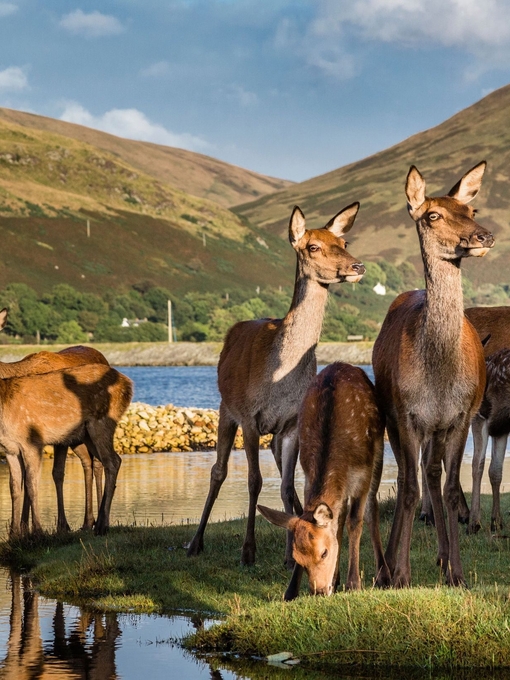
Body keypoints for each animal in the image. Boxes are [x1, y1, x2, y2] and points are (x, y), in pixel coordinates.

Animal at [2, 363, 132, 537]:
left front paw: (37, 532)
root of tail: (128, 383)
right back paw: (99, 523)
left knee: (112, 461)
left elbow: (31, 485)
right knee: (110, 460)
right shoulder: (10, 449)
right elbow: (14, 487)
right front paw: (13, 535)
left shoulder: (32, 442)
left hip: (102, 422)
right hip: (87, 434)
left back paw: (102, 526)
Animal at [187, 203, 365, 566]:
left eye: (344, 241)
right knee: (218, 471)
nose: (357, 266)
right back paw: (195, 542)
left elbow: (285, 486)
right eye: (313, 246)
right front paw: (248, 551)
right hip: (225, 408)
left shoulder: (292, 423)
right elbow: (254, 481)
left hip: (277, 434)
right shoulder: (250, 418)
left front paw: (289, 555)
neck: (278, 378)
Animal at [258, 362, 391, 599]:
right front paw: (290, 591)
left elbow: (356, 522)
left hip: (378, 455)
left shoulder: (363, 473)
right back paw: (337, 579)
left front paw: (354, 584)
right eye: (297, 559)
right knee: (339, 516)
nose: (319, 590)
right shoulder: (308, 475)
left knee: (371, 510)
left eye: (324, 552)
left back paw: (383, 575)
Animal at [372, 161, 494, 587]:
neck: (439, 378)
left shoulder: (460, 417)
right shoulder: (407, 414)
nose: (484, 235)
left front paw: (457, 572)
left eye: (472, 210)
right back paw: (386, 567)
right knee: (410, 476)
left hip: (439, 428)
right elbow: (408, 489)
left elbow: (453, 488)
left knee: (433, 473)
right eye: (433, 215)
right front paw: (400, 574)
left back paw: (441, 558)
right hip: (394, 417)